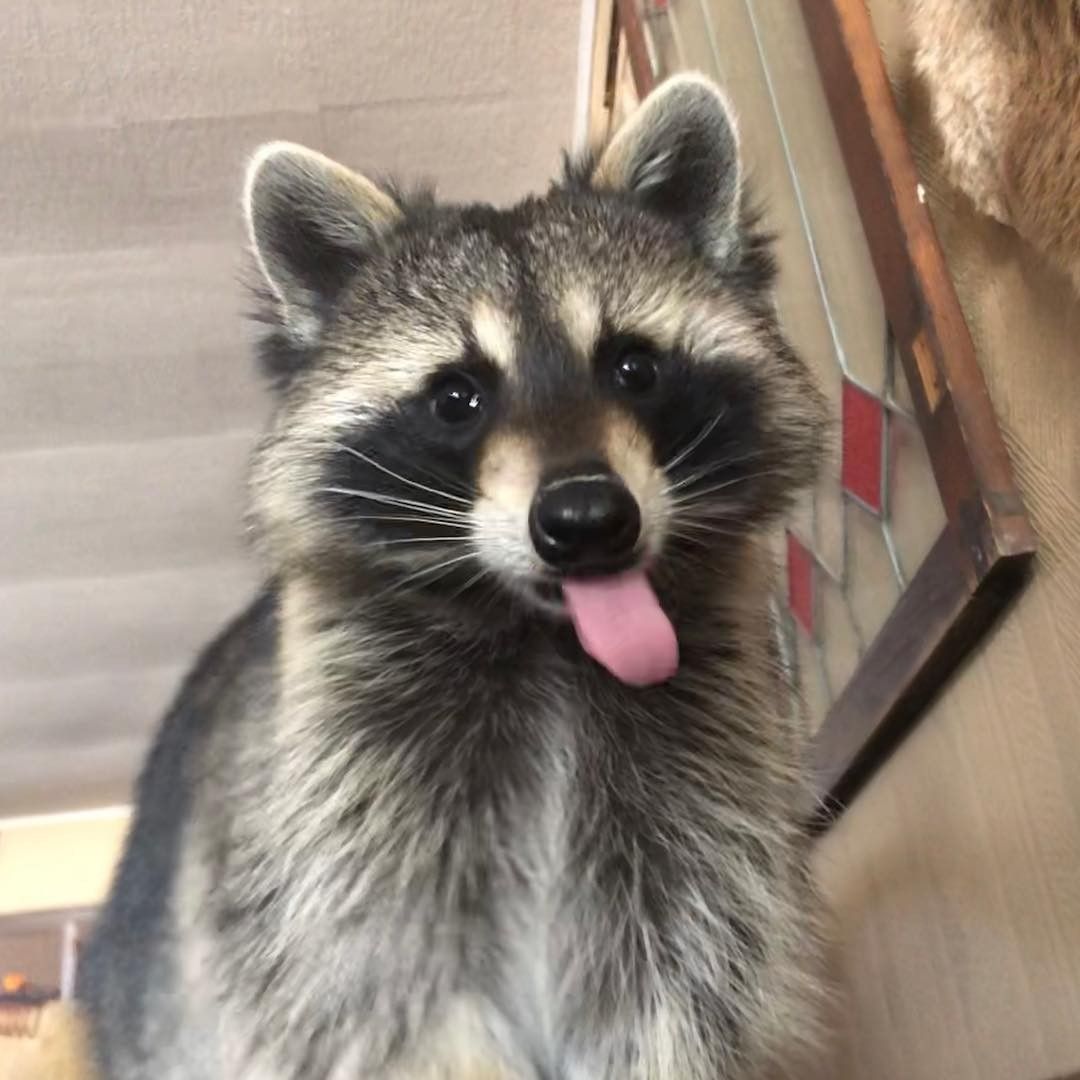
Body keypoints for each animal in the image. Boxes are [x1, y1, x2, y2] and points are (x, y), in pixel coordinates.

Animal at [78, 74, 827, 1079]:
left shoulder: (704, 822)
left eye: (633, 366)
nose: (587, 521)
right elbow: (399, 1002)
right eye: (456, 398)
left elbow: (670, 996)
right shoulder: (337, 841)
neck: (550, 644)